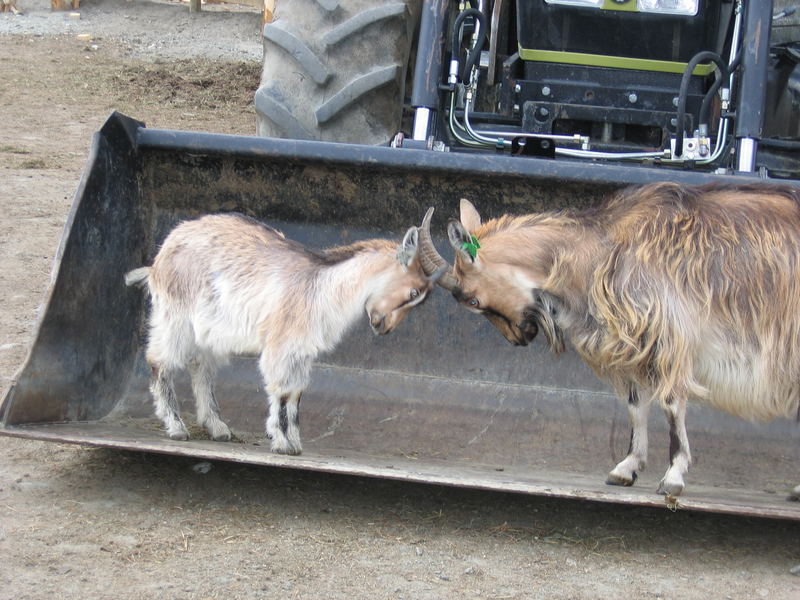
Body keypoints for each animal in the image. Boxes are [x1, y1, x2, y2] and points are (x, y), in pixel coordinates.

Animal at [418, 183, 800, 502]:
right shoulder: (631, 344)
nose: (518, 338)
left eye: (472, 300)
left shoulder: (667, 334)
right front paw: (626, 468)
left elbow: (671, 403)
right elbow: (635, 404)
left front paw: (673, 476)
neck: (599, 249)